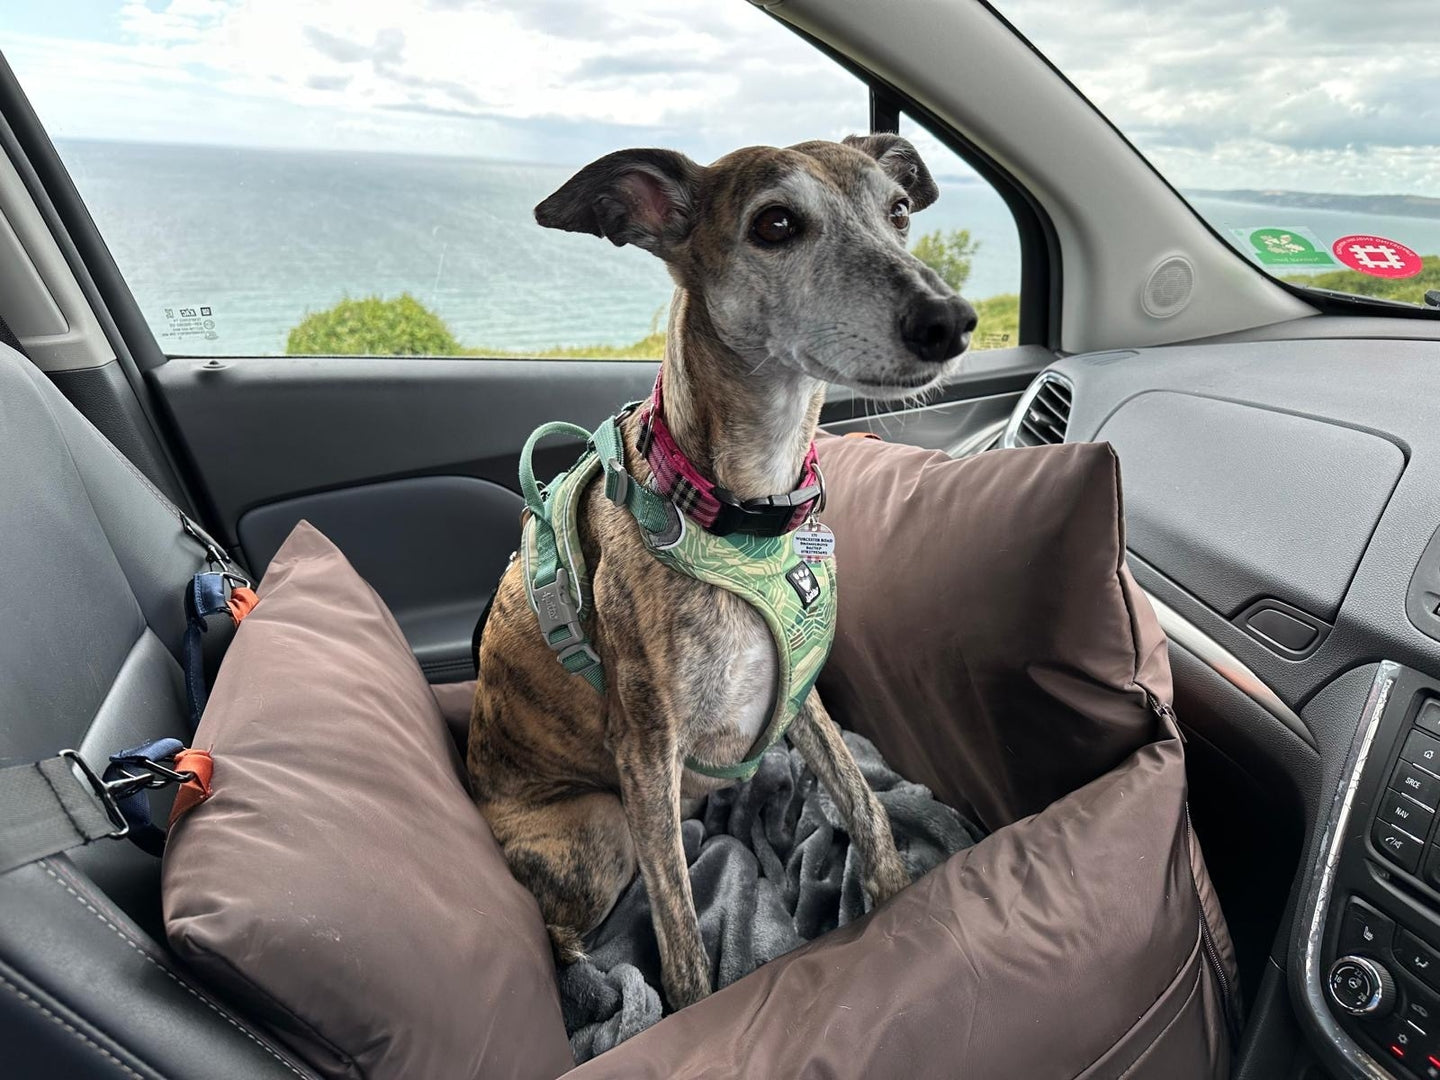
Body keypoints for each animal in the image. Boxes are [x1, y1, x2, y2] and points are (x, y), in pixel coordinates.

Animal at [472, 135, 979, 1013]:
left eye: (898, 211)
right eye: (775, 223)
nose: (949, 321)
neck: (747, 513)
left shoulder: (800, 690)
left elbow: (866, 806)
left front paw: (895, 895)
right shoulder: (645, 749)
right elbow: (681, 942)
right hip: (602, 827)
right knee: (574, 935)